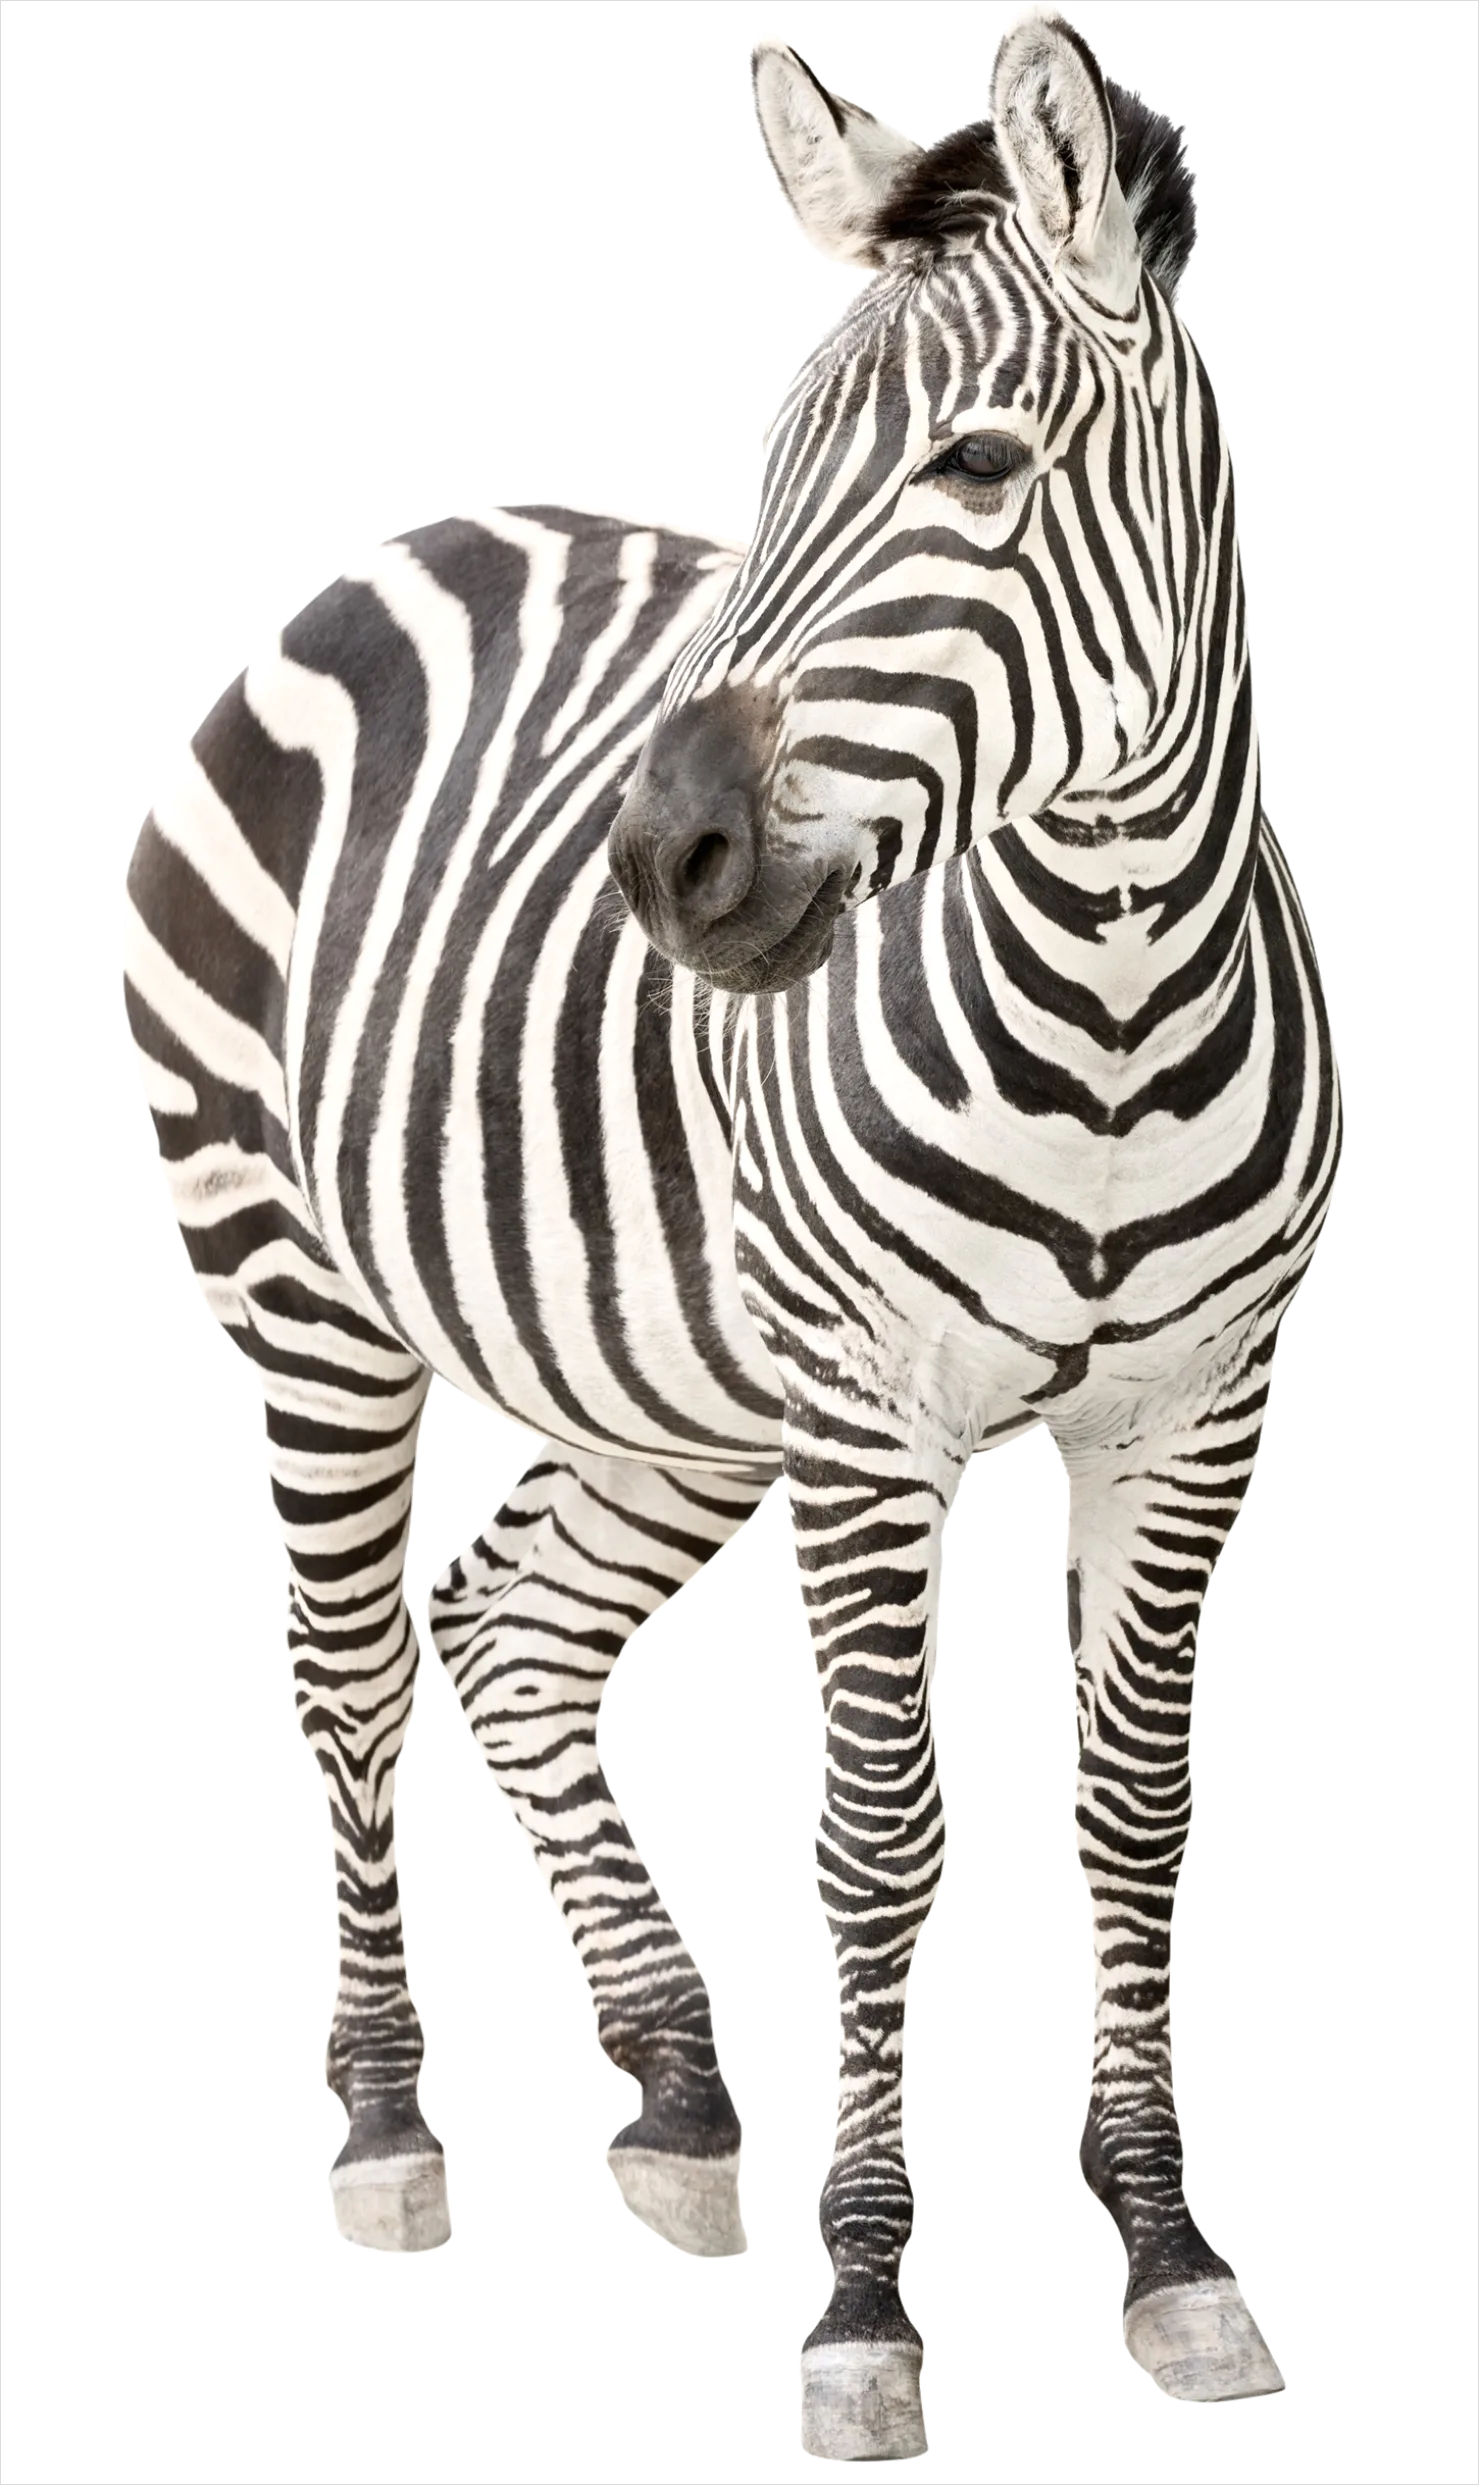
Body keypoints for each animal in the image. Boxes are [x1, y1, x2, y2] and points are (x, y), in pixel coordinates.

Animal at [119, 9, 1339, 2459]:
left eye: (975, 467)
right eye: (768, 474)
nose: (656, 864)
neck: (1112, 995)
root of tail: (390, 557)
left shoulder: (1193, 1410)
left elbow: (1133, 1820)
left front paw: (1167, 2254)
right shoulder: (869, 1430)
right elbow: (877, 1848)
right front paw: (865, 2311)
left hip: (659, 1381)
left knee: (502, 1624)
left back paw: (681, 2096)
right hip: (306, 1301)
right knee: (350, 1667)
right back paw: (387, 2129)